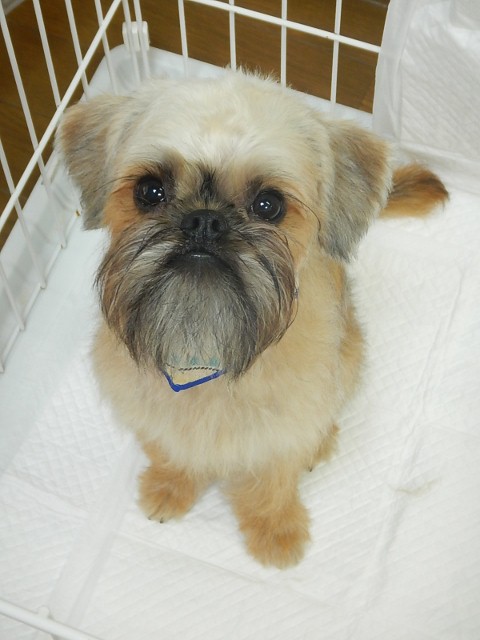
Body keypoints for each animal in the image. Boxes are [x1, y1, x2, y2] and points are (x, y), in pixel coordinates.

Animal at [56, 71, 448, 568]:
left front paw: (275, 531)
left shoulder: (283, 429)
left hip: (351, 352)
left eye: (268, 204)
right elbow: (170, 450)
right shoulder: (151, 412)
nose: (204, 221)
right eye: (149, 191)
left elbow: (274, 481)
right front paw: (170, 486)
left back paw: (320, 443)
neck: (205, 336)